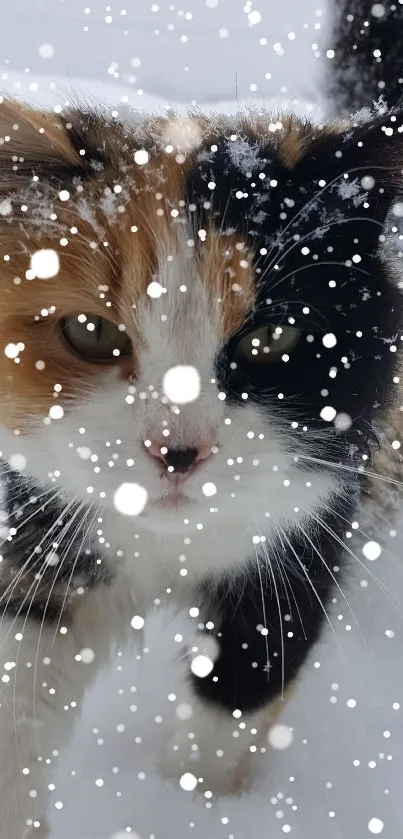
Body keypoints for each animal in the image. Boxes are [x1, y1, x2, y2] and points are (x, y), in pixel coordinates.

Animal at [0, 3, 403, 836]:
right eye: (90, 331)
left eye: (271, 339)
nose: (176, 451)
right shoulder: (45, 527)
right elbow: (18, 691)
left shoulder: (301, 539)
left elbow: (234, 703)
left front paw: (190, 811)